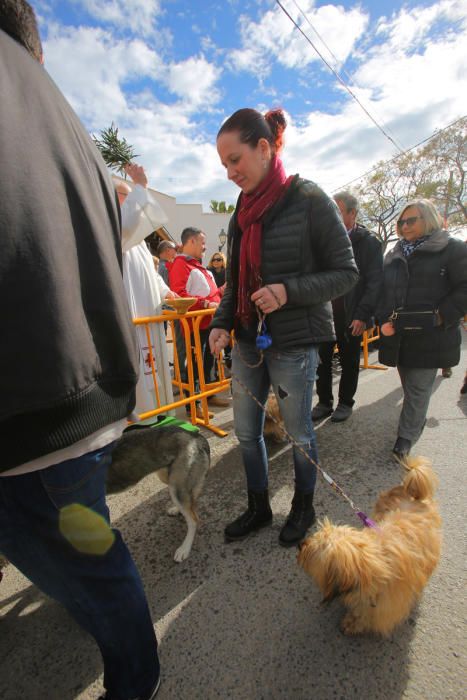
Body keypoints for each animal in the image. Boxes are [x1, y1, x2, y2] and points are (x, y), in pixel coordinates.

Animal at [107, 422, 211, 564]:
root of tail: (195, 436)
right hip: (168, 478)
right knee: (190, 501)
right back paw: (176, 509)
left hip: (177, 485)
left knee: (194, 519)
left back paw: (184, 549)